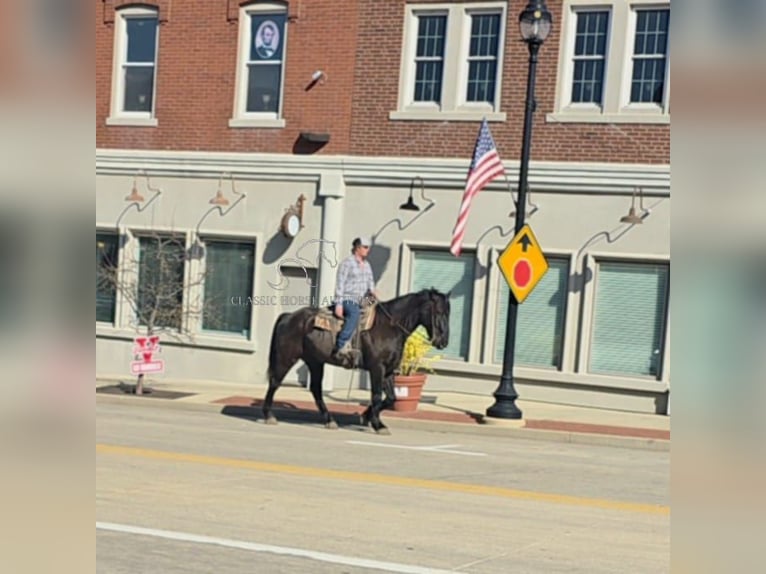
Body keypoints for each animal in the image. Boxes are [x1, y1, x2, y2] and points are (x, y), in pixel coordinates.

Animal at [268, 290, 452, 434]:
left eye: (448, 313)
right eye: (438, 311)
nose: (443, 342)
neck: (389, 327)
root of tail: (288, 317)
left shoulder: (389, 370)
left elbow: (390, 398)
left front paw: (367, 417)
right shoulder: (377, 368)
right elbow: (376, 396)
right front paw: (377, 424)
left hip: (315, 362)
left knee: (316, 390)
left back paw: (330, 420)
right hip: (287, 357)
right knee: (275, 382)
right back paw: (269, 416)